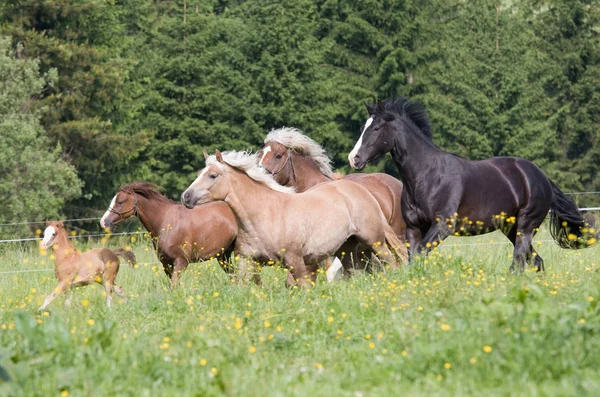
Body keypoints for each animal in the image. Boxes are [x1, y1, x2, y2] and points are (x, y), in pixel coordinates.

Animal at [99, 181, 238, 286]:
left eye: (120, 202)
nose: (104, 222)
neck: (165, 222)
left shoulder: (181, 261)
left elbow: (173, 286)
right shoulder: (166, 263)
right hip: (223, 256)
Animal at [179, 150, 404, 286]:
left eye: (213, 176)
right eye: (199, 173)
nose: (186, 197)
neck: (263, 215)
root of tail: (361, 190)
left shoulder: (295, 261)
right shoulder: (247, 260)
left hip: (374, 240)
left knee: (392, 261)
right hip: (346, 249)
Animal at [346, 96, 596, 270]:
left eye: (376, 128)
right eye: (362, 128)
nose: (354, 158)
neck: (427, 175)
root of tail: (540, 176)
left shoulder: (442, 226)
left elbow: (421, 255)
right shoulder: (414, 228)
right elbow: (414, 259)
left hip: (526, 225)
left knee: (518, 263)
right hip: (511, 227)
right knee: (536, 262)